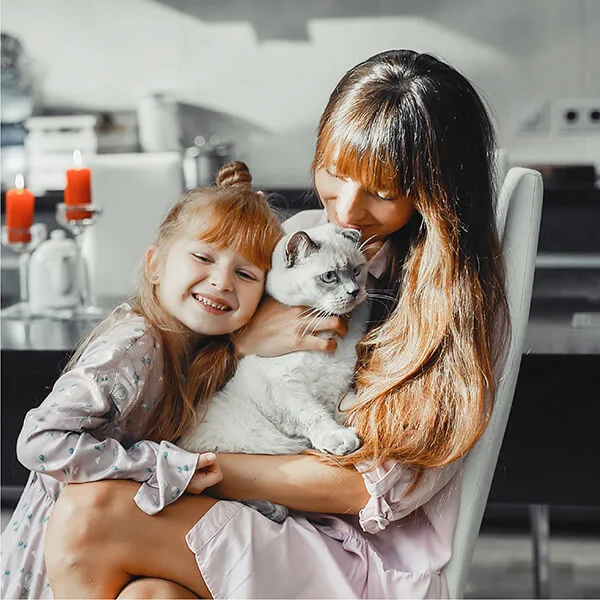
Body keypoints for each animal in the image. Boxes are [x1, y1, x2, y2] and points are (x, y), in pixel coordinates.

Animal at [176, 223, 368, 516]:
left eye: (357, 271)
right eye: (329, 277)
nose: (354, 292)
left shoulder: (336, 386)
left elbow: (344, 407)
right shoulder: (285, 388)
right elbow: (315, 417)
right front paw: (341, 440)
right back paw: (273, 508)